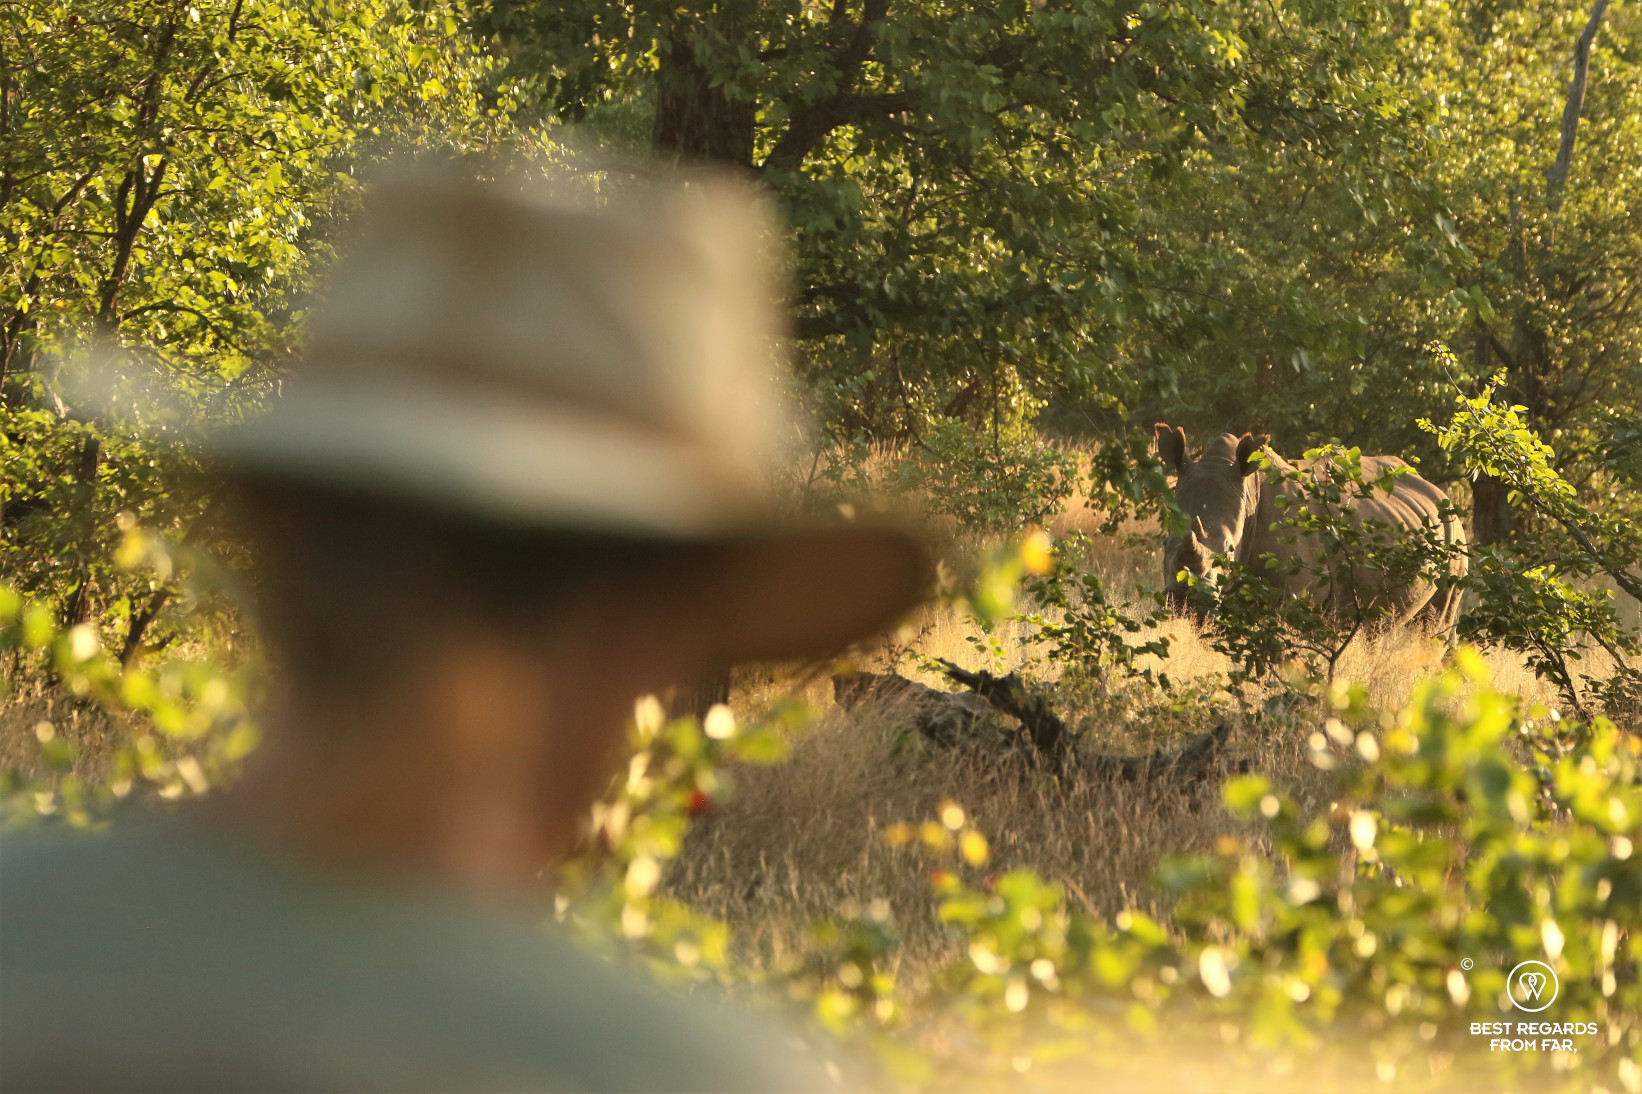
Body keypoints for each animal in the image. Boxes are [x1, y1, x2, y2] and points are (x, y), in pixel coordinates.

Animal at [1154, 424, 1467, 633]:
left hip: (1455, 536)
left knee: (1432, 625)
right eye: (1165, 544)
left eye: (1230, 550)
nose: (1184, 601)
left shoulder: (1296, 597)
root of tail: (1438, 491)